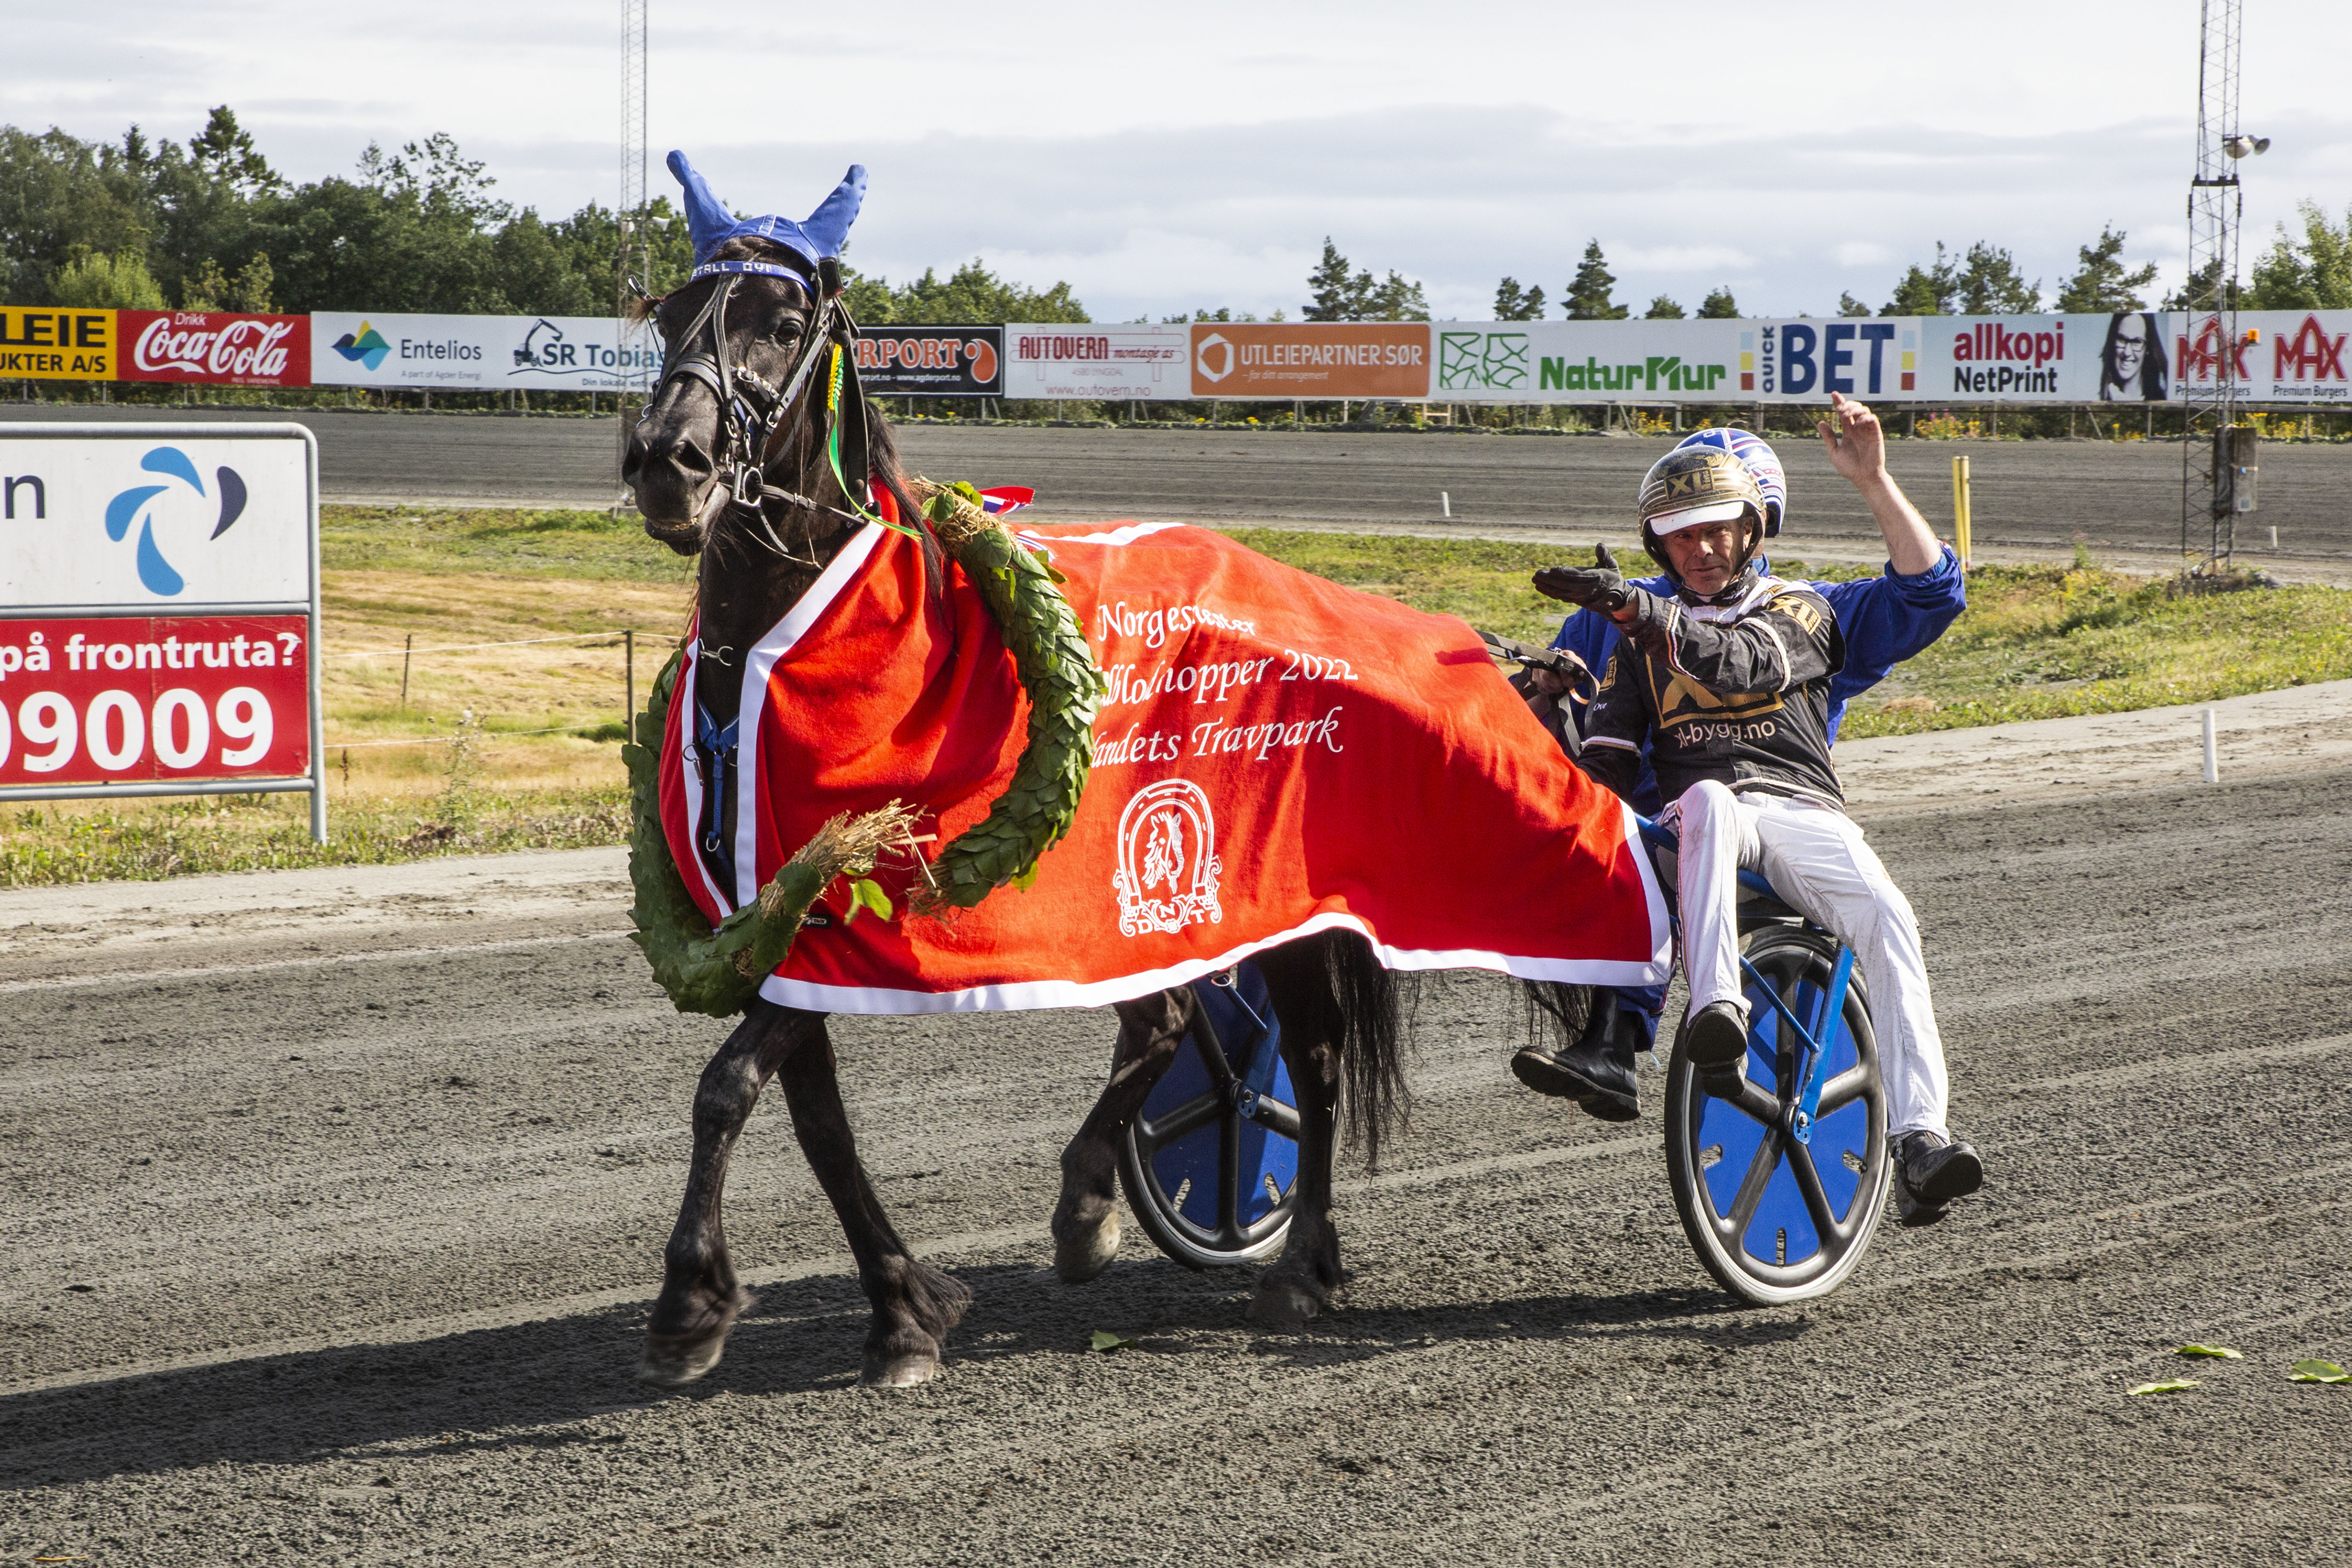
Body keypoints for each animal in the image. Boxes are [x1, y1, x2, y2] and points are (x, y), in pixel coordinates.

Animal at [622, 235, 1421, 1388]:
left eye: (783, 321)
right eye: (671, 314)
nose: (666, 462)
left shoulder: (856, 901)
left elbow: (726, 1085)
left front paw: (690, 1301)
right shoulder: (769, 924)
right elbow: (818, 1125)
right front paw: (903, 1309)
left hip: (1278, 899)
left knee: (1309, 1061)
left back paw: (1299, 1261)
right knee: (1165, 1017)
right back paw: (1091, 1200)